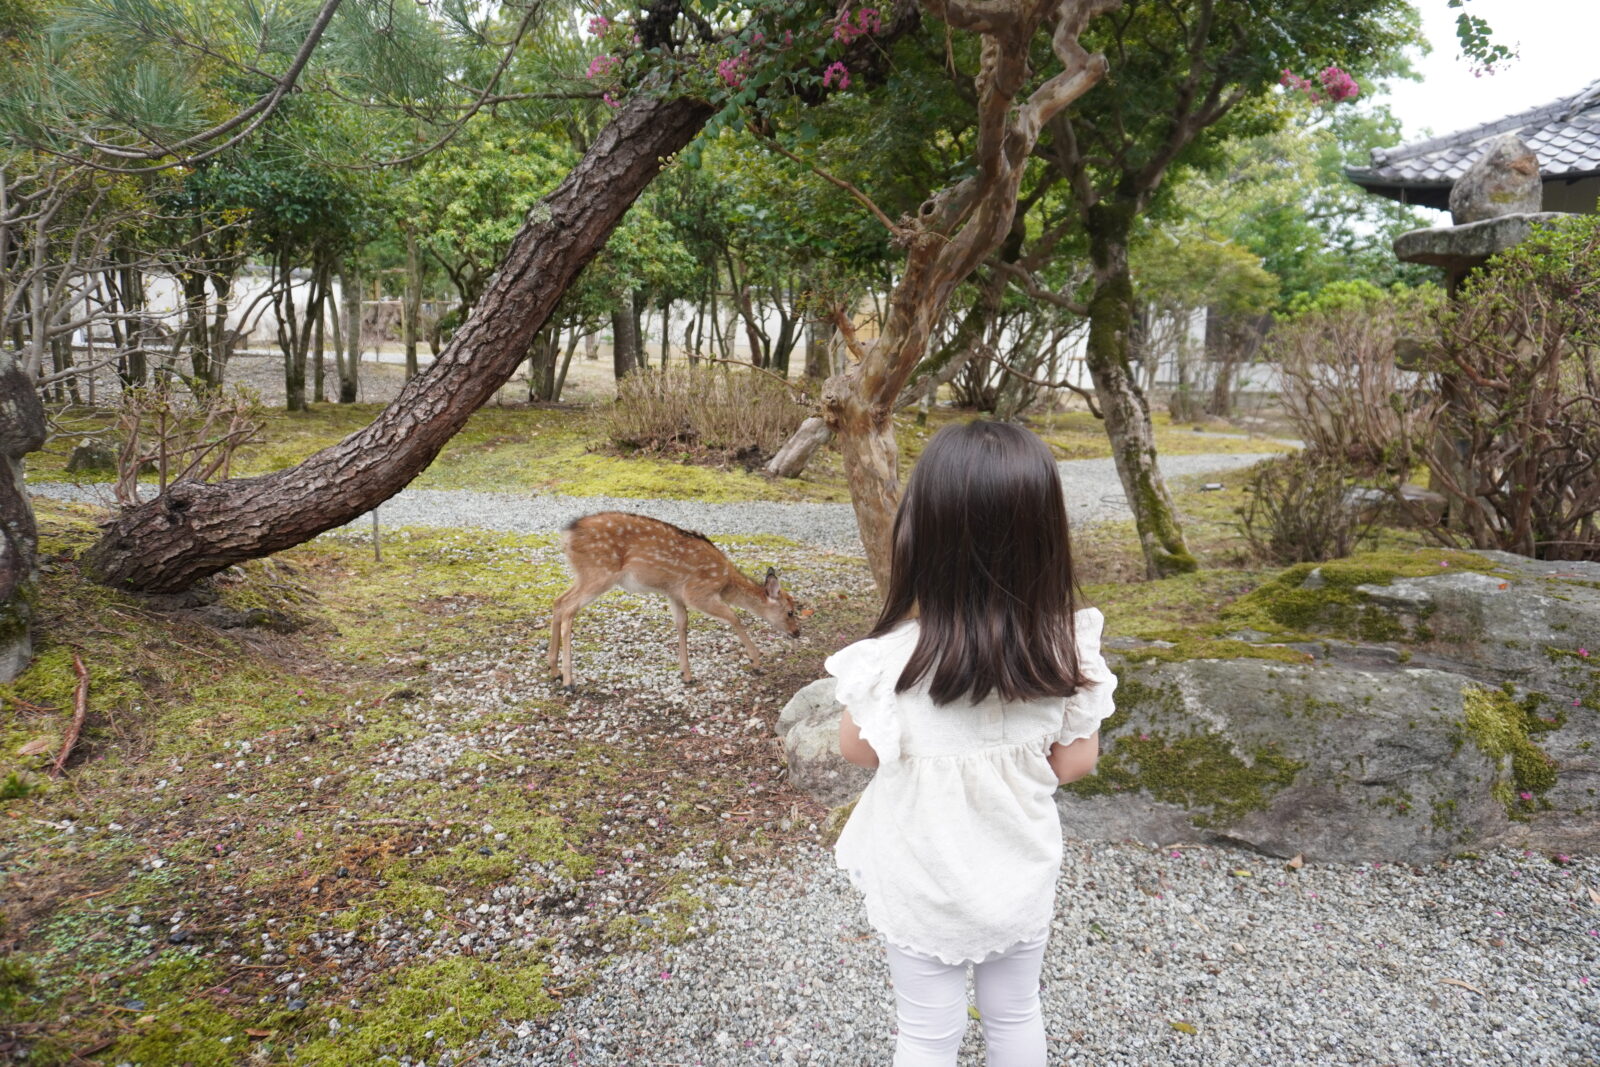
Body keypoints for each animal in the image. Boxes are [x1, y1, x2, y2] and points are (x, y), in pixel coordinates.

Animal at [548, 512, 802, 689]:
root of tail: (566, 535)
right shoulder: (697, 592)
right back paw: (569, 681)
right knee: (569, 609)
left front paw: (686, 674)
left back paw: (554, 670)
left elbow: (682, 624)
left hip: (585, 574)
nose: (797, 632)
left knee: (558, 601)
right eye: (790, 611)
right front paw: (756, 662)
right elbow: (733, 617)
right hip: (600, 572)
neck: (725, 581)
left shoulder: (674, 594)